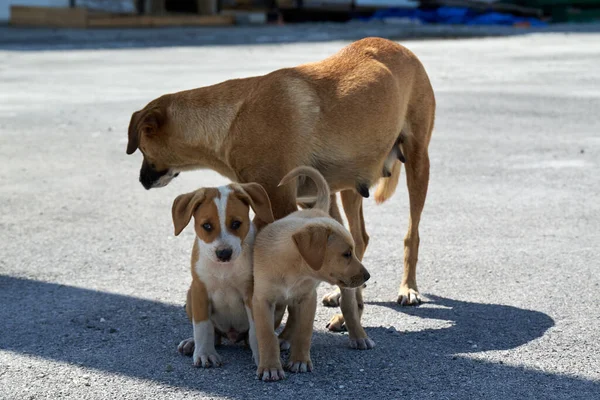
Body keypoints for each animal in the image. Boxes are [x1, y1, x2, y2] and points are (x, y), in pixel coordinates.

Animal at [126, 37, 436, 348]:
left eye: (140, 147)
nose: (141, 181)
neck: (232, 120)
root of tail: (397, 45)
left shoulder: (284, 206)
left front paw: (284, 334)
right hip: (348, 187)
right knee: (359, 237)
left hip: (418, 162)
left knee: (412, 234)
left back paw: (407, 289)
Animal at [171, 183, 276, 368]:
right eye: (206, 226)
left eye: (236, 223)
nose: (224, 253)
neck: (224, 270)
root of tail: (232, 335)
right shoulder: (200, 291)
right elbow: (202, 327)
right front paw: (204, 353)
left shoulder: (252, 293)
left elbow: (256, 328)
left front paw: (263, 357)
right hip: (190, 296)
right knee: (214, 335)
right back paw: (191, 343)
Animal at [250, 166, 370, 382]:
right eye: (346, 254)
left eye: (353, 252)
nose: (367, 276)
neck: (294, 270)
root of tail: (318, 209)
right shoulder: (262, 300)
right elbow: (266, 335)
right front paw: (270, 366)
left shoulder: (308, 298)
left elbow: (304, 331)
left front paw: (299, 361)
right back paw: (284, 338)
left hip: (344, 289)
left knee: (349, 306)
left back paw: (359, 336)